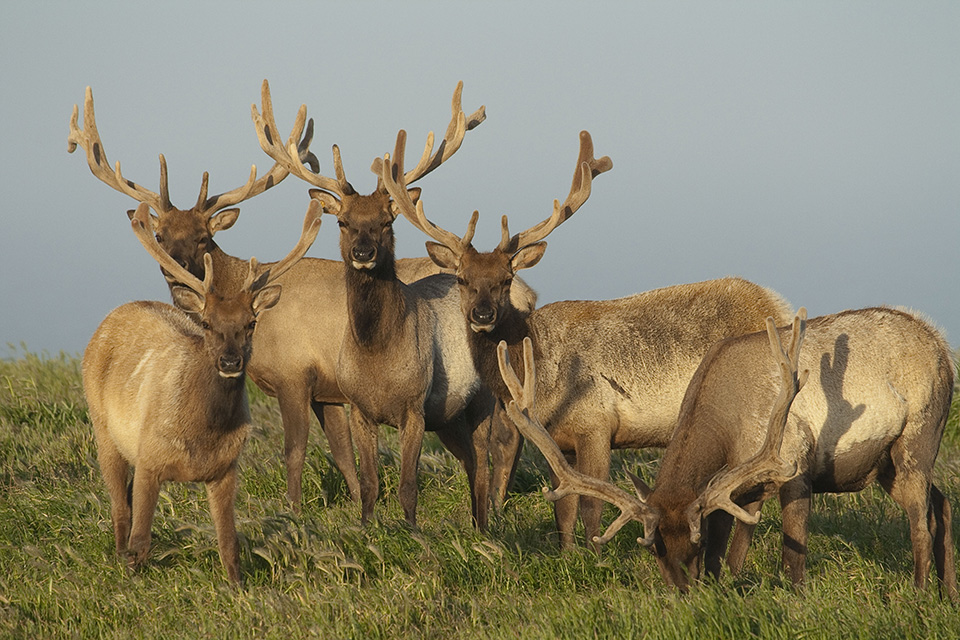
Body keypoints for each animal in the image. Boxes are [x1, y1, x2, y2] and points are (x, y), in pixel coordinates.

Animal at [67, 82, 449, 511]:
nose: (176, 268)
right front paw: (357, 506)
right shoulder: (328, 391)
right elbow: (343, 454)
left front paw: (294, 510)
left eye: (203, 237)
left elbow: (295, 450)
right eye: (161, 235)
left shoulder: (294, 373)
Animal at [83, 200, 322, 583]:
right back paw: (118, 557)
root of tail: (121, 309)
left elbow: (229, 543)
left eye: (251, 323)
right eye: (207, 323)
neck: (202, 432)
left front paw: (237, 586)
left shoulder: (226, 468)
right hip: (103, 428)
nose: (230, 360)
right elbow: (141, 540)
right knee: (120, 507)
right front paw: (132, 578)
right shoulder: (150, 457)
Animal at [252, 80, 521, 530]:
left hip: (483, 398)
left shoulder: (414, 407)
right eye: (343, 221)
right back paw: (474, 523)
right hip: (448, 418)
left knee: (484, 461)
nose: (363, 252)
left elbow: (408, 486)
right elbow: (369, 483)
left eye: (386, 221)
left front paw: (412, 533)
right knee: (470, 462)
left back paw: (484, 526)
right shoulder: (360, 408)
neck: (378, 355)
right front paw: (365, 528)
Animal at [384, 129, 796, 550]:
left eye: (506, 279)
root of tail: (778, 306)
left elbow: (591, 507)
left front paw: (596, 552)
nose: (483, 316)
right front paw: (568, 553)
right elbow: (563, 511)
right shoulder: (557, 437)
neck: (540, 374)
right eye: (462, 279)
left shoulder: (596, 425)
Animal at [498, 307, 958, 600]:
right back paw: (947, 592)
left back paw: (919, 592)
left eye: (693, 542)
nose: (684, 593)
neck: (730, 428)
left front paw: (795, 597)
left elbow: (791, 554)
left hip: (918, 438)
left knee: (920, 520)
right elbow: (733, 554)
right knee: (942, 503)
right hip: (886, 466)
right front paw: (728, 587)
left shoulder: (794, 464)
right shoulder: (739, 488)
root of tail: (942, 345)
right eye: (654, 546)